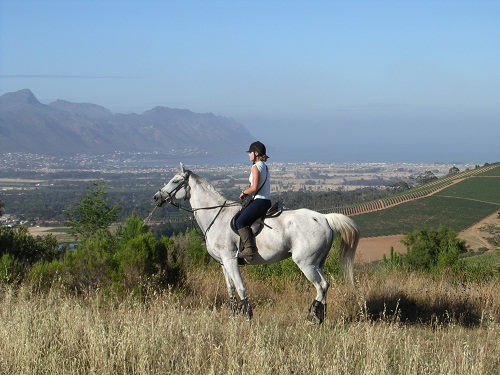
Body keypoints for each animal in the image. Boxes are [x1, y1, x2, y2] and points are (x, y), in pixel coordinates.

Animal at [152, 163, 360, 324]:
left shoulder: (230, 259)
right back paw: (319, 316)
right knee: (325, 286)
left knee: (321, 286)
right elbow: (230, 288)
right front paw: (232, 316)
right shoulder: (223, 263)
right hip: (318, 263)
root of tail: (324, 218)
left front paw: (247, 316)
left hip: (306, 263)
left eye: (175, 181)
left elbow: (240, 287)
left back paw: (312, 317)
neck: (216, 215)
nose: (156, 197)